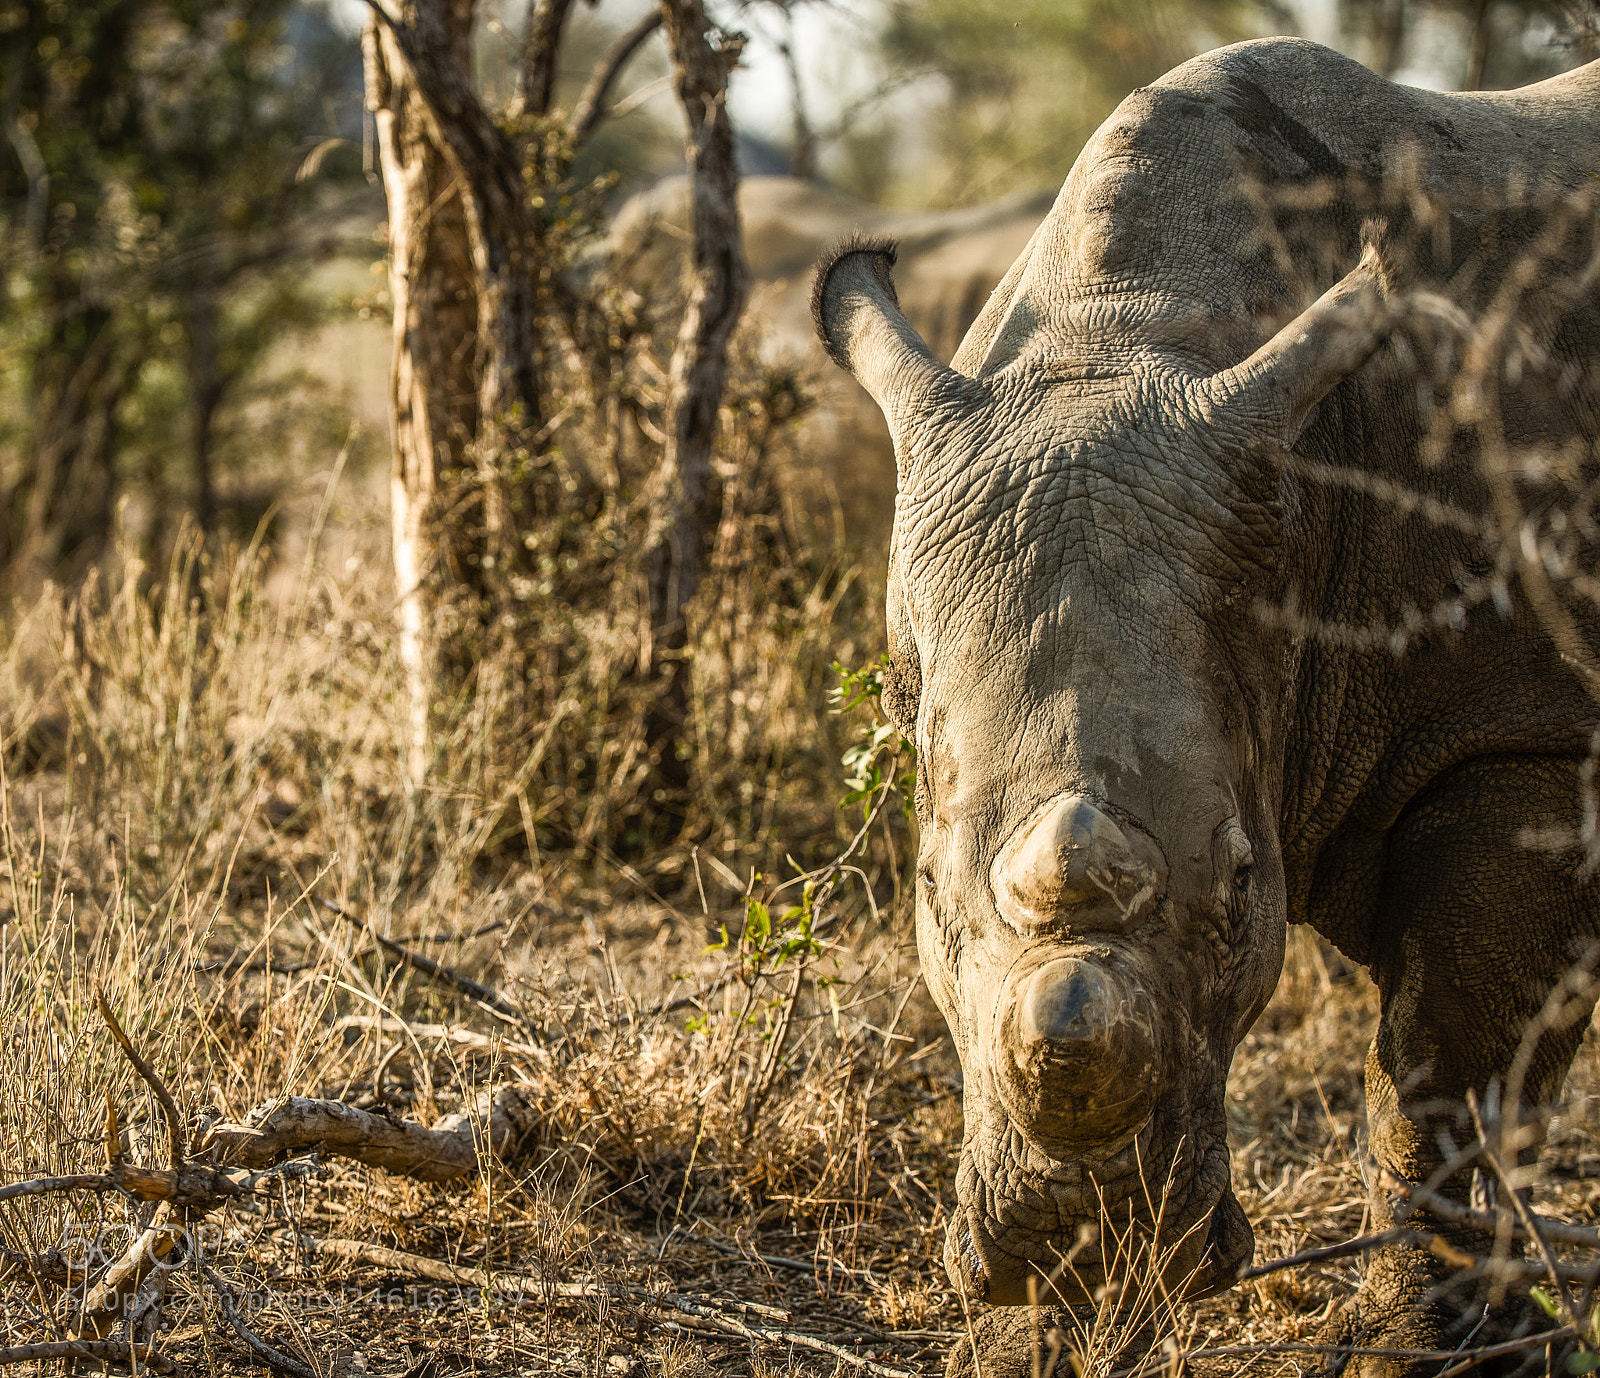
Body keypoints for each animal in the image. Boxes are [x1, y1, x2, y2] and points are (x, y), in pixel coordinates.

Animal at [812, 36, 1600, 1367]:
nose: (1081, 1233)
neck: (1126, 335)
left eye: (1241, 886)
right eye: (921, 893)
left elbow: (1438, 1070)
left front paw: (1418, 1347)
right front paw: (1052, 1330)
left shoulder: (1524, 730)